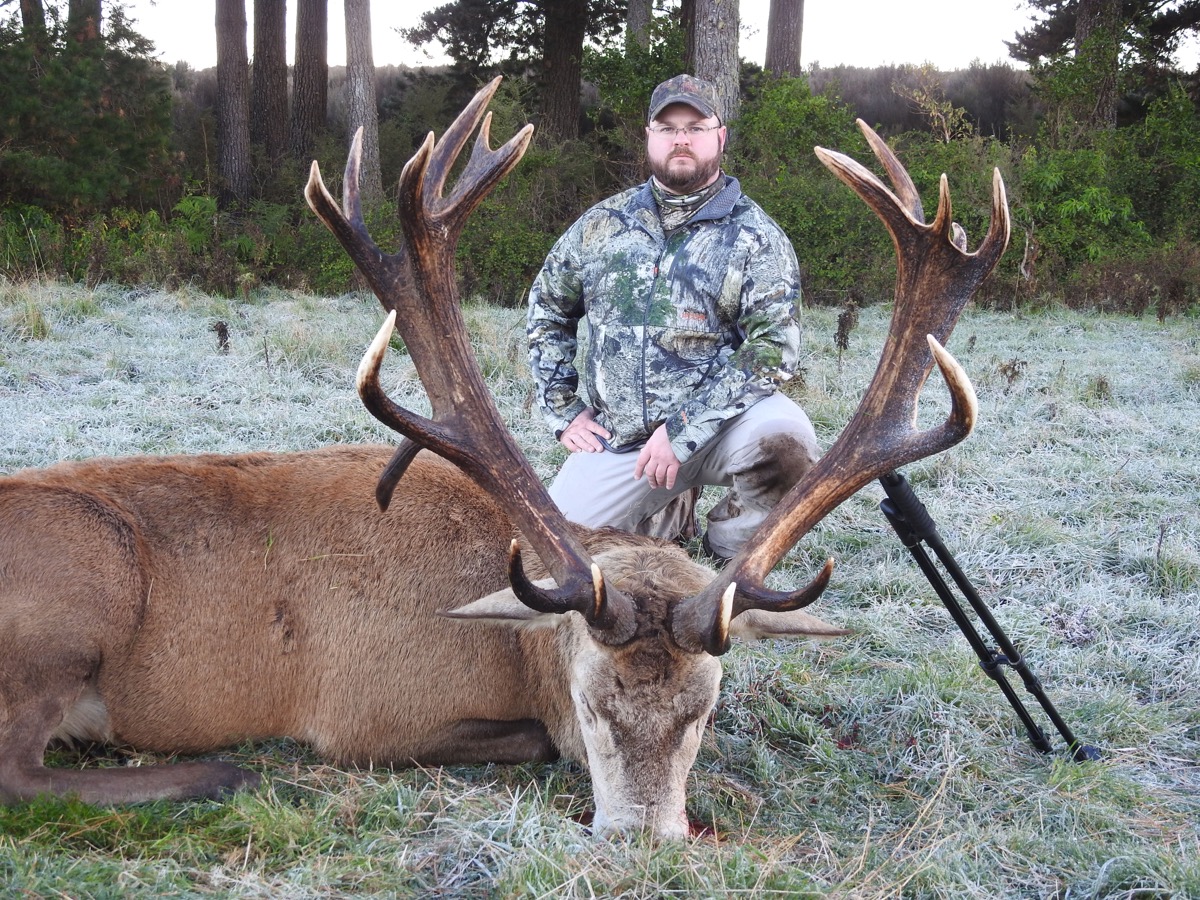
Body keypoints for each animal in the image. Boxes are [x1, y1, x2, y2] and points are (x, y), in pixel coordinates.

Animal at [0, 78, 1008, 839]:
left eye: (705, 711)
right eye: (591, 704)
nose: (643, 838)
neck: (509, 638)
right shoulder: (366, 716)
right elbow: (525, 739)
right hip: (74, 597)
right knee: (19, 771)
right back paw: (218, 774)